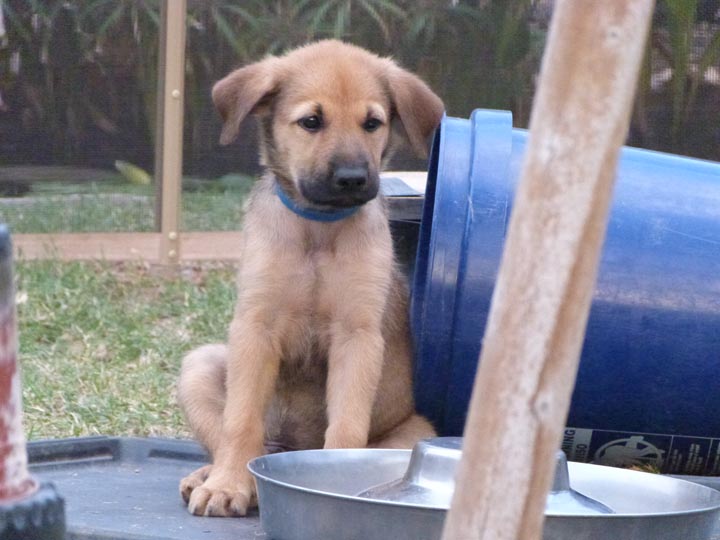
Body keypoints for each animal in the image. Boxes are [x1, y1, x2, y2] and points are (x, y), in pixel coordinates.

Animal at [176, 40, 442, 516]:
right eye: (311, 122)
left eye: (372, 123)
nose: (352, 179)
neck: (318, 230)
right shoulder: (255, 327)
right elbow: (240, 422)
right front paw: (227, 484)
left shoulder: (357, 335)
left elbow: (347, 427)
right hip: (199, 367)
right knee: (237, 438)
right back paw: (211, 475)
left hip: (419, 430)